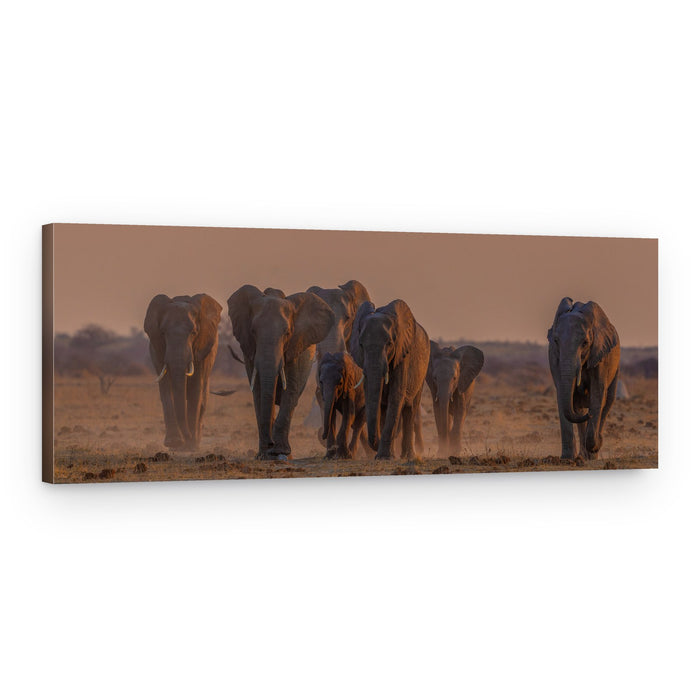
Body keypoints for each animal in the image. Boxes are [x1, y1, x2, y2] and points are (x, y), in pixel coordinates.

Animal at [144, 293, 223, 449]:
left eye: (193, 333)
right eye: (163, 333)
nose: (187, 437)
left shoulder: (201, 350)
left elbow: (196, 388)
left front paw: (189, 446)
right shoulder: (158, 350)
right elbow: (166, 387)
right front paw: (174, 443)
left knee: (202, 398)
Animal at [228, 285, 335, 460]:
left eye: (287, 333)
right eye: (253, 331)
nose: (270, 443)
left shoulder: (296, 346)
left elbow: (290, 389)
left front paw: (279, 452)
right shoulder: (249, 351)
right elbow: (258, 391)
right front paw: (264, 455)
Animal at [351, 299, 429, 460]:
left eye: (389, 343)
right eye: (361, 345)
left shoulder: (403, 354)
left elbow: (396, 396)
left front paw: (384, 457)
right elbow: (376, 399)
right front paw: (384, 456)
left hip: (422, 373)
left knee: (410, 409)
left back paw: (408, 456)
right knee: (386, 408)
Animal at [547, 297, 620, 460]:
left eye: (585, 343)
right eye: (556, 341)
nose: (590, 414)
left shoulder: (601, 355)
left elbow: (598, 395)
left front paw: (595, 446)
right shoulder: (554, 356)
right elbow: (563, 395)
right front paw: (567, 458)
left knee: (607, 402)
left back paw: (592, 454)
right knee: (578, 407)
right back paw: (582, 456)